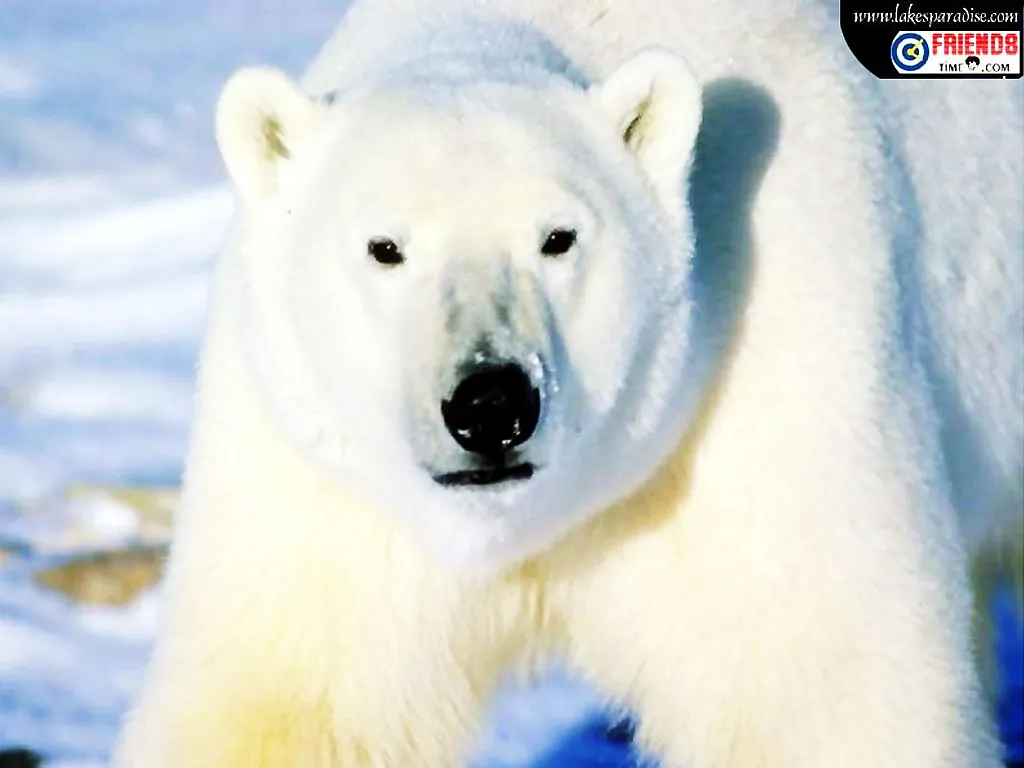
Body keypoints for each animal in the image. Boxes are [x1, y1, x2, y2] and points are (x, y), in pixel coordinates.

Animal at [114, 0, 1024, 766]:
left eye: (558, 237)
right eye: (384, 247)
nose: (490, 405)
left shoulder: (768, 380)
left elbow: (822, 701)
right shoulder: (318, 482)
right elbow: (288, 705)